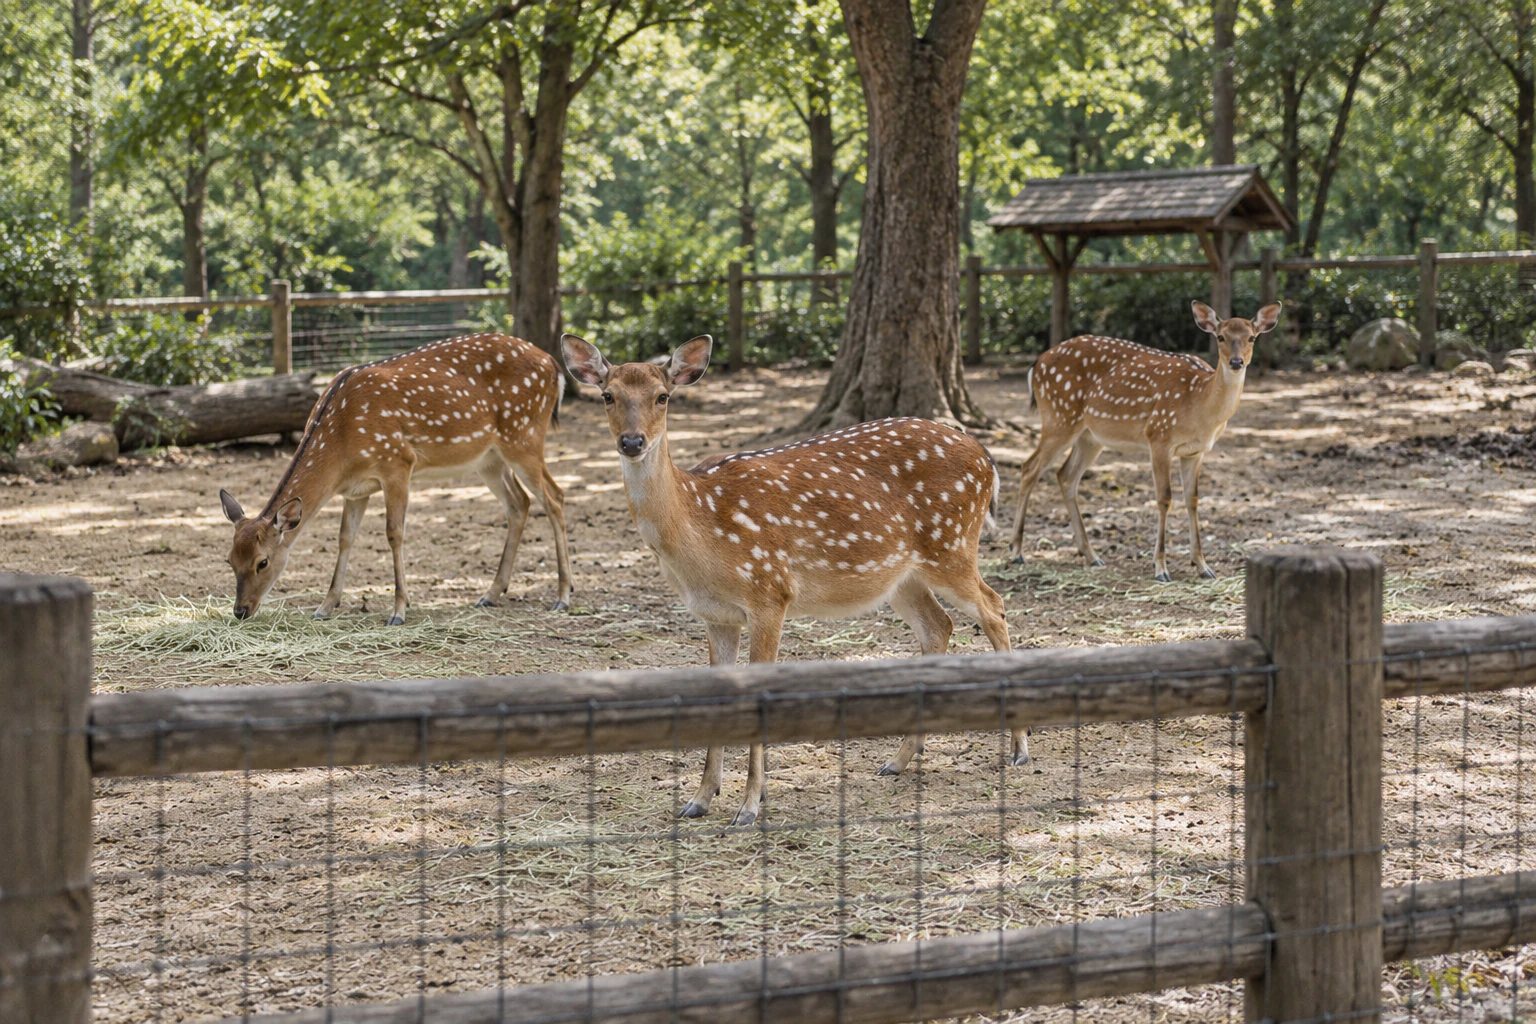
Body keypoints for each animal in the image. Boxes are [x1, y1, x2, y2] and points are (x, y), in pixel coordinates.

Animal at [218, 332, 572, 624]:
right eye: (229, 560)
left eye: (262, 562)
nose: (240, 610)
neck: (341, 443)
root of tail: (553, 365)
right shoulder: (355, 490)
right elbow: (344, 538)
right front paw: (325, 606)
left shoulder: (398, 463)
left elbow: (394, 533)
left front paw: (400, 610)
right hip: (490, 458)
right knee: (519, 503)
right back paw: (490, 594)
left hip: (524, 436)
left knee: (555, 497)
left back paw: (563, 596)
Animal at [561, 332, 1027, 827]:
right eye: (608, 395)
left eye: (662, 396)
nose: (632, 441)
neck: (699, 529)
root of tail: (987, 459)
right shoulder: (714, 615)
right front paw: (700, 799)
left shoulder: (770, 592)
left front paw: (749, 806)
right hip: (901, 576)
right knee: (939, 625)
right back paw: (898, 760)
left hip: (951, 545)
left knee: (994, 606)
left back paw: (1018, 749)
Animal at [1008, 301, 1281, 581]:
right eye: (1221, 337)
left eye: (1251, 337)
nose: (1236, 362)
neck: (1200, 404)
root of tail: (1037, 363)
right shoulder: (1159, 436)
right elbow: (1164, 499)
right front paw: (1161, 568)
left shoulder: (1195, 452)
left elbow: (1193, 500)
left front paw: (1203, 566)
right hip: (1058, 417)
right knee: (1029, 467)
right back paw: (1016, 551)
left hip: (1089, 436)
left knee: (1066, 475)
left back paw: (1092, 555)